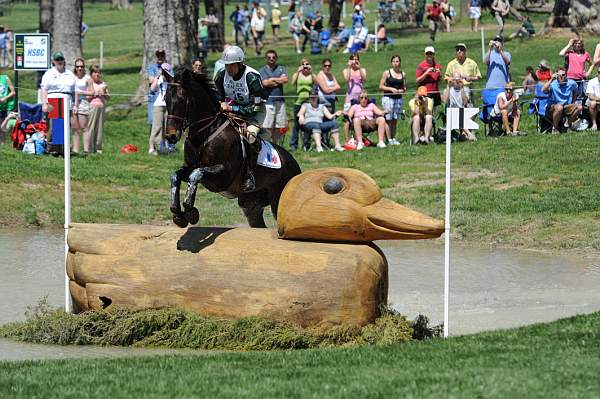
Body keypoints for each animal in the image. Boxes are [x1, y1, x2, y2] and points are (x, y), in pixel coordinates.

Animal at [163, 67, 300, 230]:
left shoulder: (225, 175)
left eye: (182, 100)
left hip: (277, 199)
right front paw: (177, 213)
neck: (204, 134)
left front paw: (190, 211)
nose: (170, 136)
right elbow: (175, 176)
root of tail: (293, 162)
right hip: (251, 204)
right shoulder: (188, 167)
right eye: (165, 99)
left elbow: (196, 174)